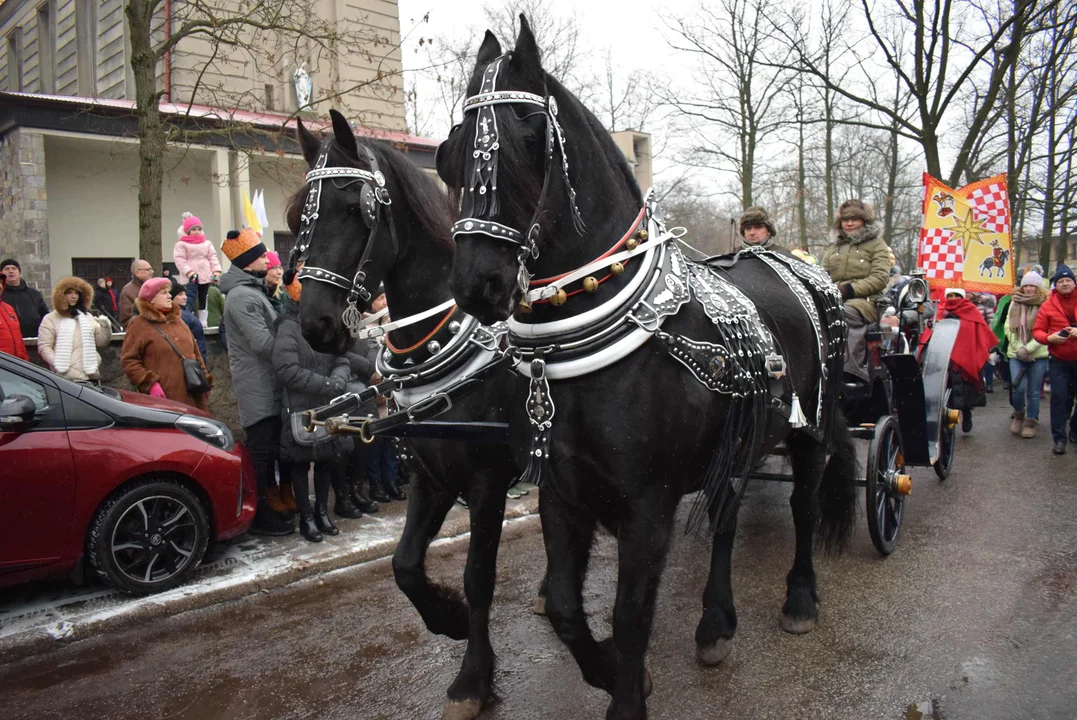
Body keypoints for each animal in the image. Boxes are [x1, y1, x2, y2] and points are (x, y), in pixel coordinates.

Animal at [288, 108, 519, 718]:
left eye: (355, 209)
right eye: (297, 218)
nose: (315, 325)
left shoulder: (488, 478)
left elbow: (479, 575)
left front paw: (472, 680)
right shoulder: (430, 474)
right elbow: (405, 565)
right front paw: (449, 620)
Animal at [437, 18, 857, 718]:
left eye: (528, 138)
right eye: (451, 151)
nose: (478, 284)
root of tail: (791, 261)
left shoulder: (648, 505)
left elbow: (632, 614)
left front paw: (628, 695)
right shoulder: (560, 492)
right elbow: (564, 607)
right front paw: (610, 672)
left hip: (811, 430)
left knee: (802, 505)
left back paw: (799, 597)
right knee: (726, 517)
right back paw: (715, 623)